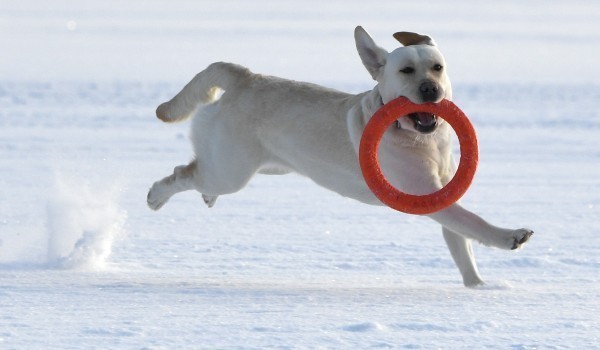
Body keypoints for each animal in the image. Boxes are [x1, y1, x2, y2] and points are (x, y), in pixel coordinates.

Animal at [148, 26, 532, 286]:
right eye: (406, 71)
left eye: (437, 67)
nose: (430, 89)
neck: (421, 141)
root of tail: (245, 76)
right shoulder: (427, 196)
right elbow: (474, 223)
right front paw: (511, 236)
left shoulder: (445, 192)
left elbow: (461, 246)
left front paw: (479, 287)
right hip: (231, 171)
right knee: (182, 172)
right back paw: (156, 195)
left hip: (265, 165)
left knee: (197, 168)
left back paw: (205, 197)